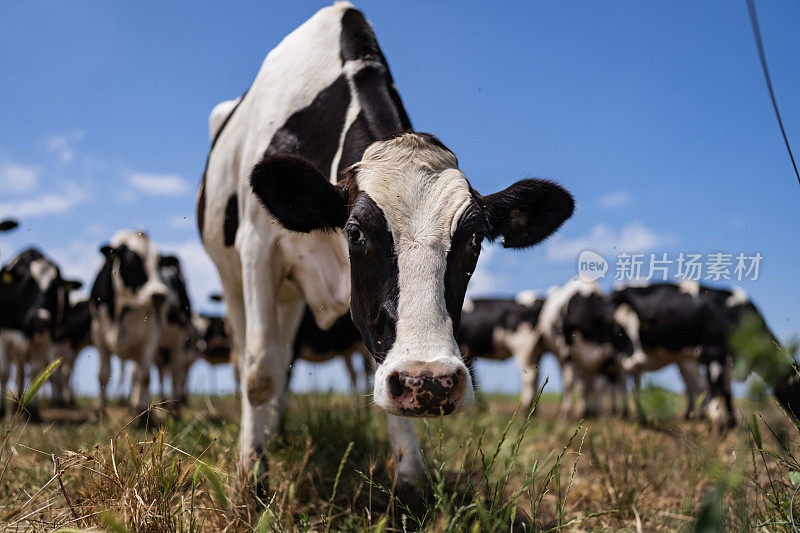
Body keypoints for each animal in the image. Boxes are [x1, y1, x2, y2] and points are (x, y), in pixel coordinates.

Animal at [0, 249, 80, 420]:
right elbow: (4, 372)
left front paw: (32, 411)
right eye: (27, 282)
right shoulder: (3, 336)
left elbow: (36, 373)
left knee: (21, 374)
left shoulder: (44, 342)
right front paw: (1, 410)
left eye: (55, 286)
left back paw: (19, 404)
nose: (41, 318)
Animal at [90, 230, 186, 412]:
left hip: (176, 341)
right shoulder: (98, 335)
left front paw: (142, 410)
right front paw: (100, 409)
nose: (159, 295)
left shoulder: (151, 337)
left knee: (175, 372)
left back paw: (172, 408)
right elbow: (103, 374)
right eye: (132, 262)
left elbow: (145, 377)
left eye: (159, 265)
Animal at [200, 2, 576, 496]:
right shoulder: (258, 250)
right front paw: (251, 479)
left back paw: (277, 433)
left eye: (475, 238)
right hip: (232, 276)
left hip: (290, 297)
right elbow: (260, 371)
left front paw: (411, 480)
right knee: (253, 357)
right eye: (355, 232)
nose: (430, 382)